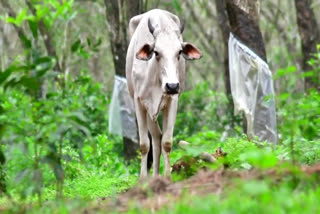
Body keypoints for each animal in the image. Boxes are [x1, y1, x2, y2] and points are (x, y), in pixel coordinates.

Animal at [125, 9, 202, 178]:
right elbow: (144, 144)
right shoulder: (139, 102)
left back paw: (156, 176)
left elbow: (166, 142)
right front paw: (142, 179)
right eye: (156, 52)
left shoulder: (173, 100)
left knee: (157, 137)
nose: (172, 86)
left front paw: (167, 177)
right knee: (154, 137)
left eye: (179, 52)